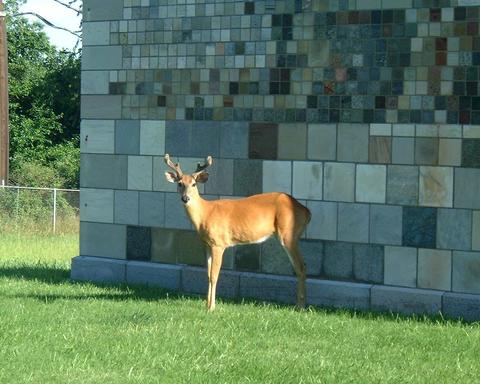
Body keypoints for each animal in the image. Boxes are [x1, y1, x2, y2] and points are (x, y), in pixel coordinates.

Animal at [163, 154, 312, 310]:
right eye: (180, 183)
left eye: (194, 184)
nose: (185, 198)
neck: (205, 214)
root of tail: (307, 212)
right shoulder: (207, 245)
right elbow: (208, 275)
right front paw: (206, 305)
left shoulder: (219, 243)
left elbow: (214, 275)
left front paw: (212, 307)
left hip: (288, 234)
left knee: (301, 266)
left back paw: (300, 306)